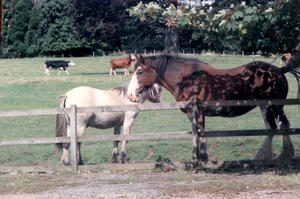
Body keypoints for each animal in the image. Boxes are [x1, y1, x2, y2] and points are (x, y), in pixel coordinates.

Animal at [127, 44, 300, 166]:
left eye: (139, 72)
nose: (130, 95)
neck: (187, 78)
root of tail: (278, 70)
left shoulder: (195, 113)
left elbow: (200, 133)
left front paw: (202, 160)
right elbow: (200, 133)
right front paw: (201, 158)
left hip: (276, 106)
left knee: (283, 126)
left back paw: (283, 156)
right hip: (265, 106)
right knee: (271, 128)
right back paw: (262, 158)